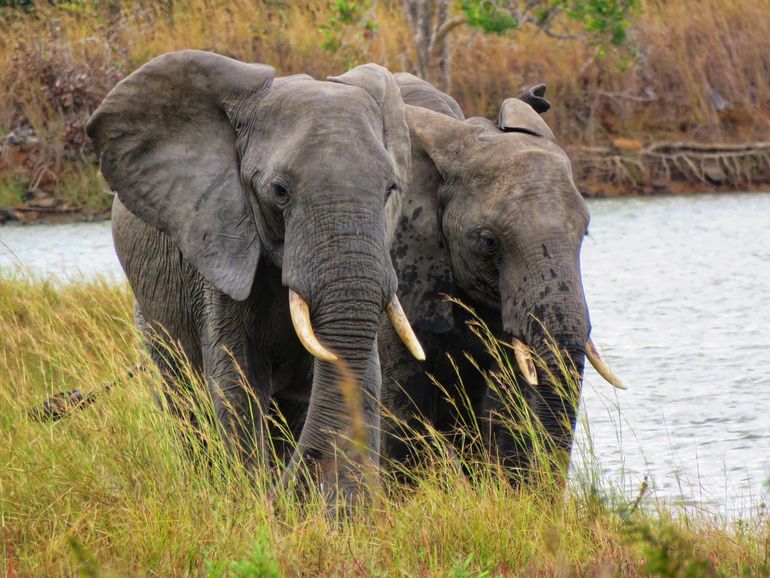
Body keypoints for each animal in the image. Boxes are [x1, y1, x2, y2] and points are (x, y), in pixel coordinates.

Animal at [84, 50, 426, 504]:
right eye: (279, 191)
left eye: (390, 189)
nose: (288, 491)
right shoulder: (217, 247)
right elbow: (238, 376)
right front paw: (252, 501)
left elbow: (362, 367)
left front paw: (339, 510)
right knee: (183, 394)